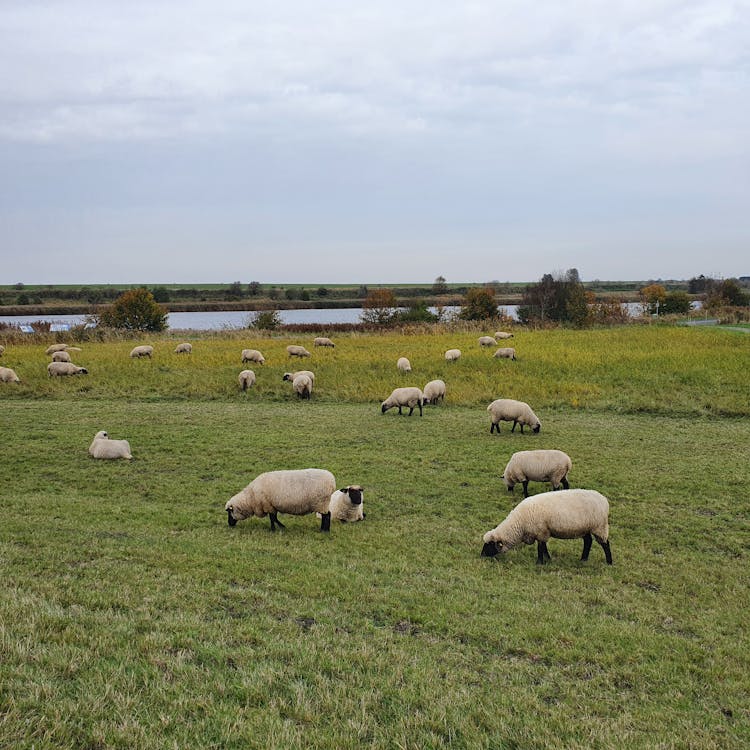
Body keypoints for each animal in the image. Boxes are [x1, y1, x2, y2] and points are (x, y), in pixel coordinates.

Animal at [482, 490, 616, 568]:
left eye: (490, 544)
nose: (481, 555)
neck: (520, 523)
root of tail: (604, 500)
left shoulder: (541, 531)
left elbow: (540, 547)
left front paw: (539, 562)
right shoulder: (543, 531)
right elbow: (544, 546)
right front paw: (548, 559)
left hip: (599, 526)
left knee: (605, 543)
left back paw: (609, 562)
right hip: (585, 527)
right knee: (588, 541)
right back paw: (583, 559)